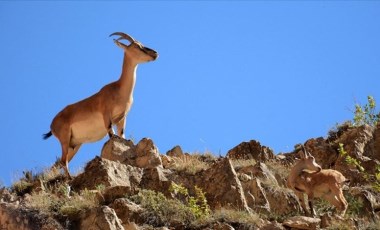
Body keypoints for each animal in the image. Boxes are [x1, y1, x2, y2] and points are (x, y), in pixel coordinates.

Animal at [43, 32, 158, 177]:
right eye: (137, 46)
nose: (155, 53)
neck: (119, 89)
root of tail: (52, 125)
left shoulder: (122, 118)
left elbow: (122, 136)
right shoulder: (106, 116)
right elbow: (112, 135)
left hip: (74, 145)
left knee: (59, 162)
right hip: (65, 139)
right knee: (63, 161)